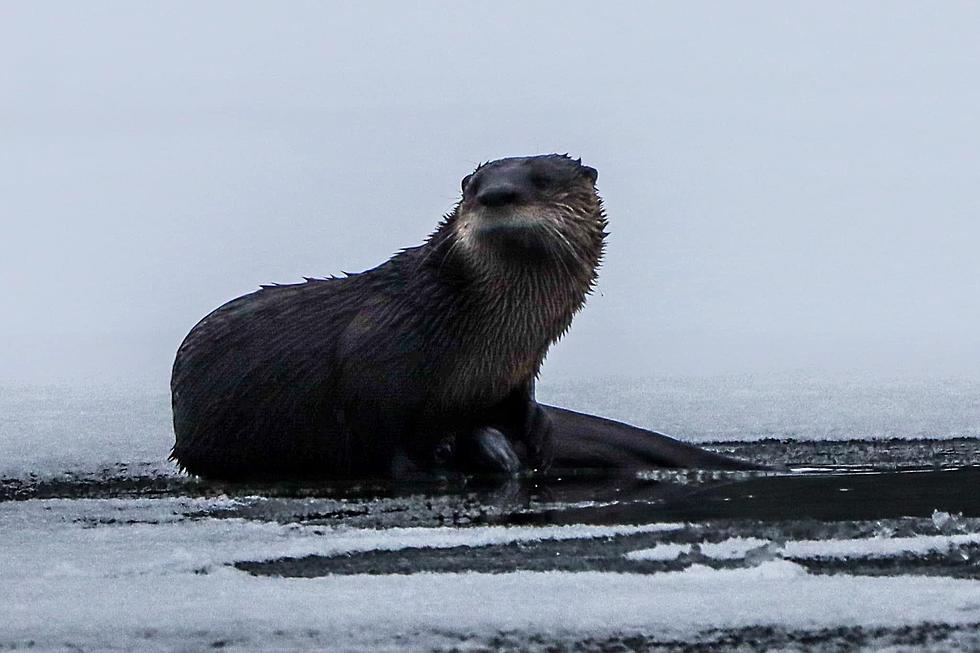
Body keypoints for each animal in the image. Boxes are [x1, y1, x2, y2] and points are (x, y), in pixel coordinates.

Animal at [170, 154, 756, 478]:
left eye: (542, 178)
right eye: (470, 186)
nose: (497, 194)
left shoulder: (517, 369)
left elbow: (520, 406)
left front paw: (533, 438)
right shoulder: (378, 357)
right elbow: (377, 428)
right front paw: (423, 472)